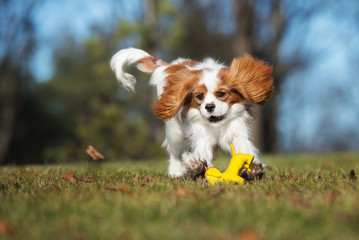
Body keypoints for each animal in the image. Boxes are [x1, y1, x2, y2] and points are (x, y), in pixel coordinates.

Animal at [111, 47, 274, 179]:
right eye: (199, 96)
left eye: (221, 94)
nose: (209, 106)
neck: (217, 125)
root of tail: (167, 66)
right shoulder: (202, 137)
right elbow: (201, 153)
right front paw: (196, 167)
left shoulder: (238, 132)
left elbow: (244, 150)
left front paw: (253, 169)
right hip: (175, 131)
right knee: (175, 153)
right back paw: (175, 172)